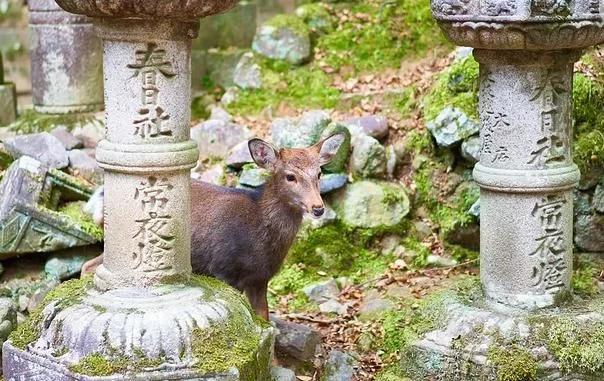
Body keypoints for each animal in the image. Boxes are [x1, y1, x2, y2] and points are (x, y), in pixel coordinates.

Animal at [81, 134, 344, 318]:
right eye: (290, 176)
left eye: (319, 173)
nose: (318, 207)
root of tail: (98, 199)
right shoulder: (223, 268)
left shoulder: (260, 278)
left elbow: (264, 319)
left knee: (88, 264)